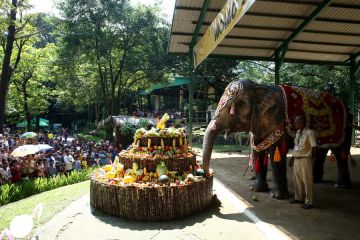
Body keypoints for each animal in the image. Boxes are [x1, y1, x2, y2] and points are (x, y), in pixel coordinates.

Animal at [204, 79, 352, 198]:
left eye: (239, 103)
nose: (208, 175)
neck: (259, 87)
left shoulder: (279, 121)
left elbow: (277, 153)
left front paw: (277, 196)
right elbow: (257, 150)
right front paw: (256, 189)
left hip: (344, 127)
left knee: (340, 153)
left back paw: (341, 186)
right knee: (322, 150)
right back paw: (316, 180)